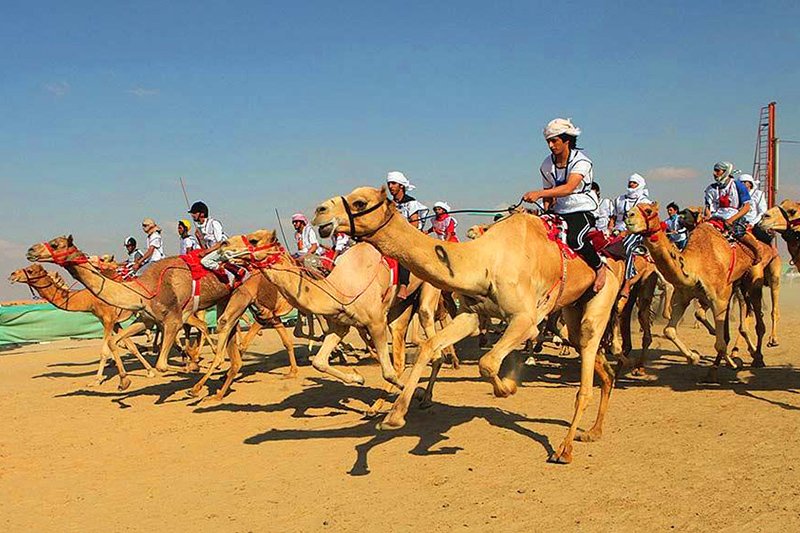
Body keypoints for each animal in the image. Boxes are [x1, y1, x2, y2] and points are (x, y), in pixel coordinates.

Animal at [8, 264, 156, 384]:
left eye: (30, 270)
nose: (12, 275)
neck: (88, 298)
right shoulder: (112, 322)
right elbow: (130, 346)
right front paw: (150, 371)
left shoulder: (107, 319)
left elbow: (104, 351)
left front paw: (96, 380)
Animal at [27, 235, 228, 388]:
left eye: (55, 244)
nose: (30, 250)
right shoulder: (139, 319)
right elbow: (119, 343)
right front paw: (126, 379)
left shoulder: (113, 318)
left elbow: (156, 363)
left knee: (205, 326)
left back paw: (209, 359)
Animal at [316, 186, 628, 462]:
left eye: (359, 202)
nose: (320, 212)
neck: (485, 261)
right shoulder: (471, 315)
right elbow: (430, 346)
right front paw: (394, 416)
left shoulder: (526, 320)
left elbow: (487, 363)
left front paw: (508, 386)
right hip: (573, 306)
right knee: (596, 360)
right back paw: (594, 430)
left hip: (601, 297)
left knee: (586, 365)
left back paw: (565, 448)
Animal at [624, 202, 776, 376]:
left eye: (648, 210)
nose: (628, 216)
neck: (695, 264)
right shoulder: (683, 297)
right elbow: (669, 330)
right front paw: (694, 357)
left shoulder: (719, 299)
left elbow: (720, 343)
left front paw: (728, 365)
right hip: (737, 286)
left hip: (753, 278)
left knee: (757, 319)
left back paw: (758, 358)